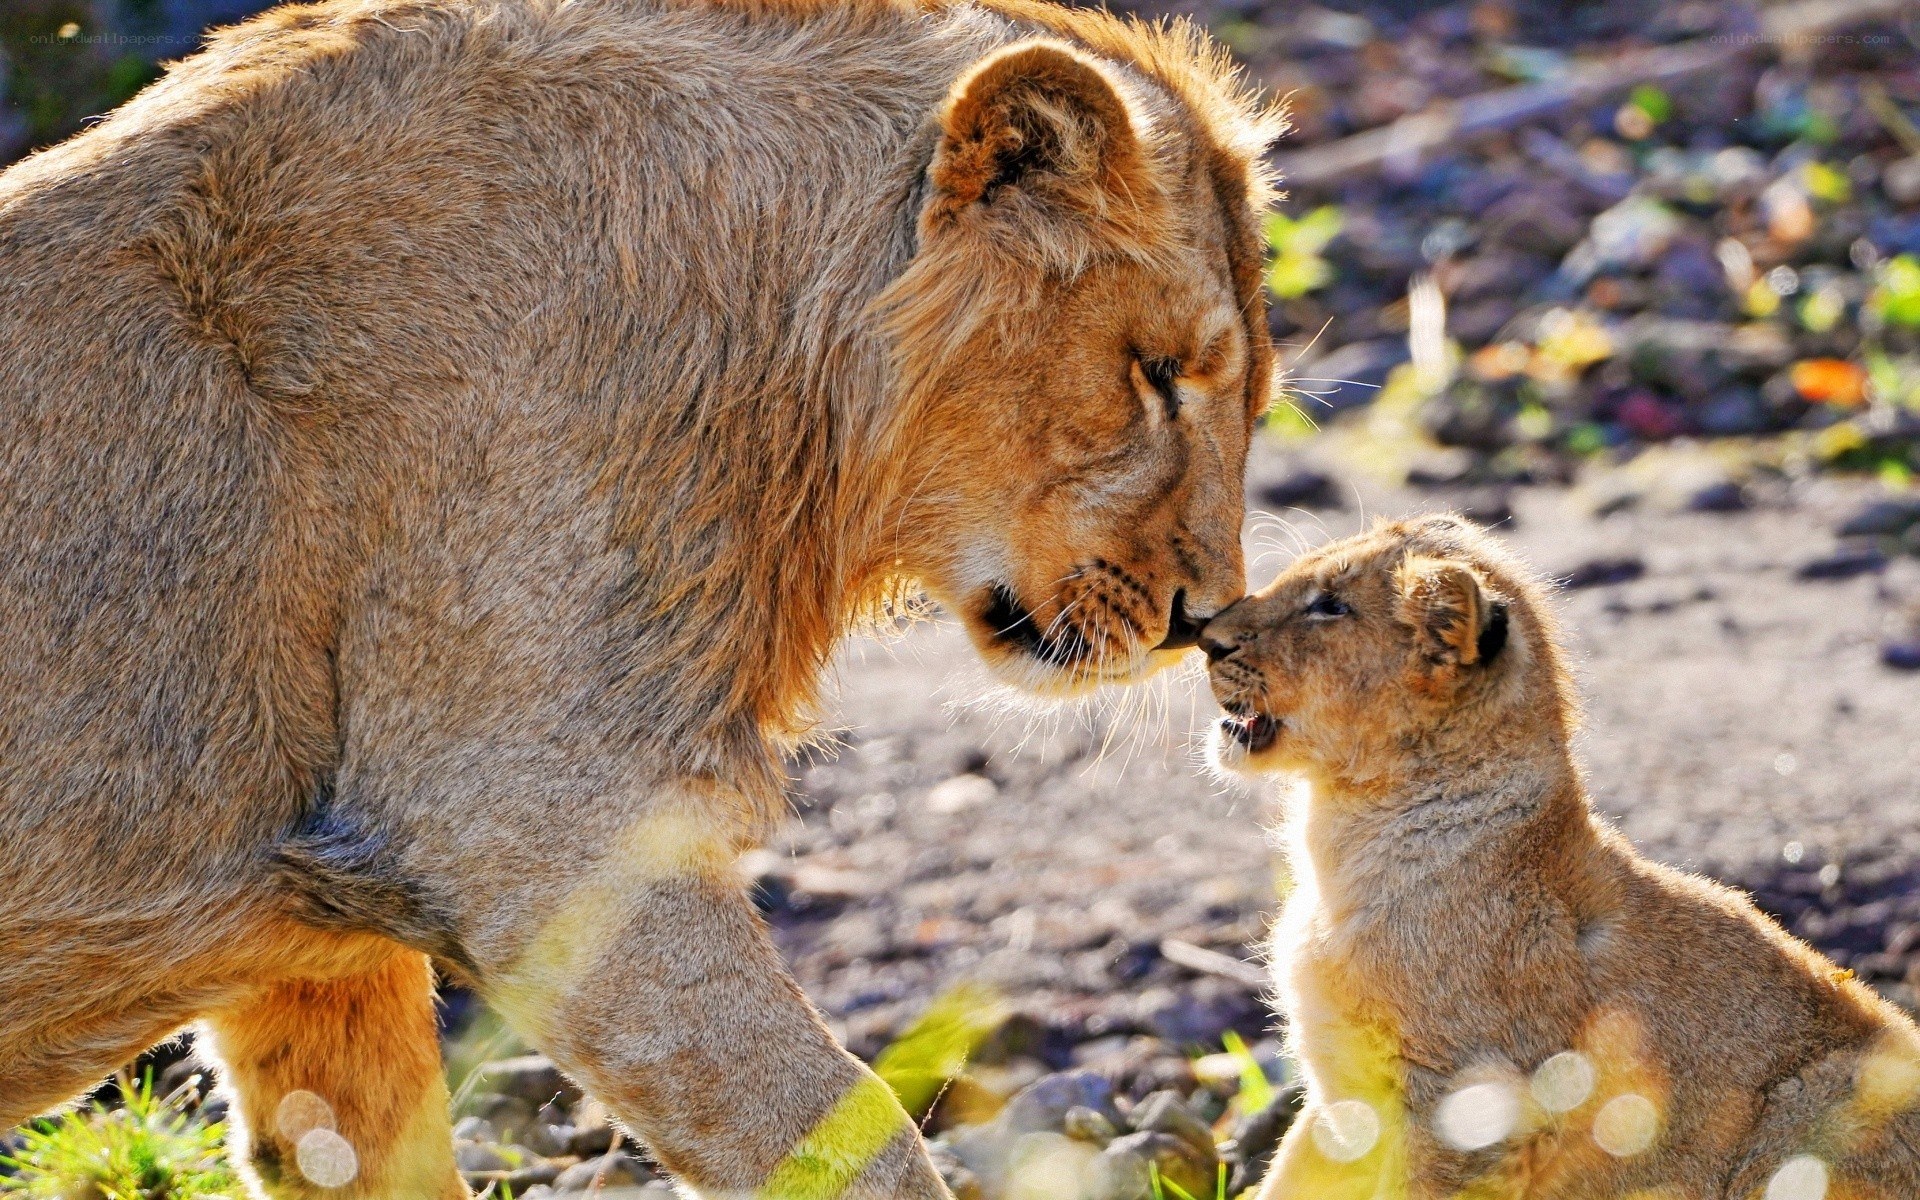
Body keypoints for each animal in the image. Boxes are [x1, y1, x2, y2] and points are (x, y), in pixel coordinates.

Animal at [0, 0, 1283, 1195]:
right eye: (1156, 375)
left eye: (1254, 396)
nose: (1202, 619)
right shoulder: (529, 823)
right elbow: (836, 1131)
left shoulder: (319, 958)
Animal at [1203, 514, 1920, 1200]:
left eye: (1329, 606)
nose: (1206, 638)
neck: (1342, 845)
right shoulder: (1343, 1096)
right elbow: (1289, 1179)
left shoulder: (1464, 1108)